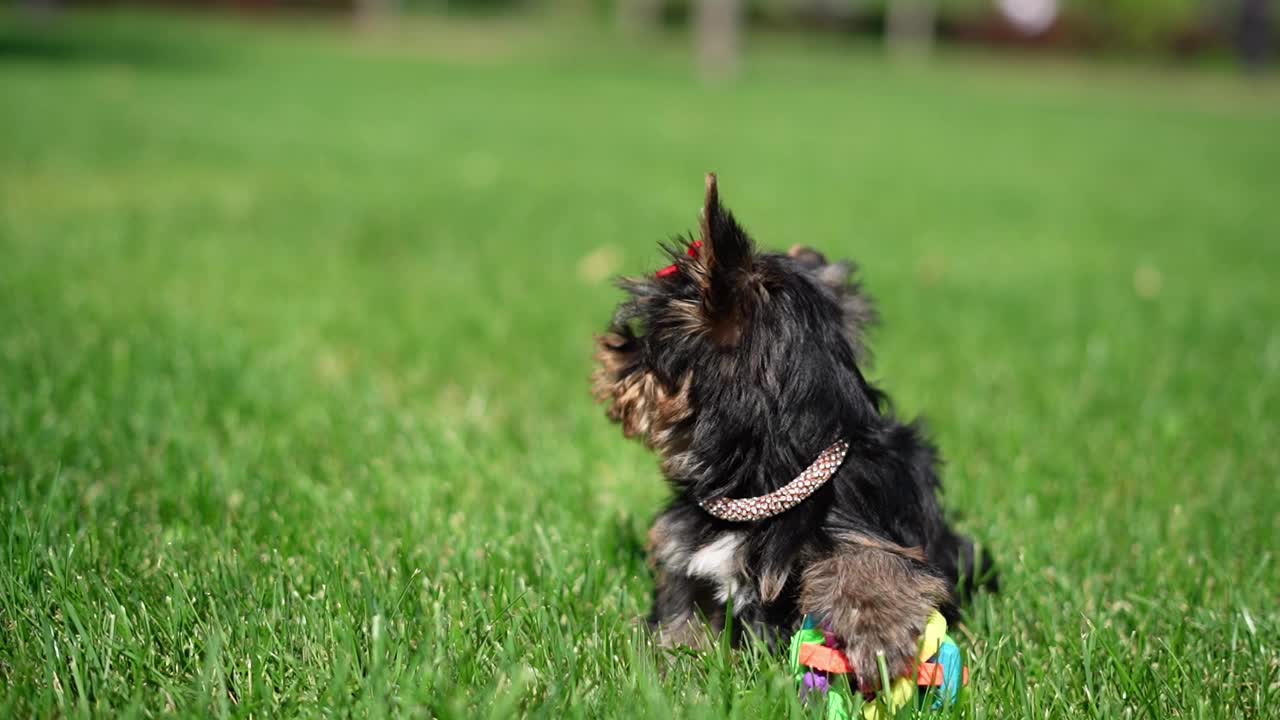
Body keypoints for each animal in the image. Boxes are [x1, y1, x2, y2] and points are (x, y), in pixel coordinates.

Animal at [593, 172, 993, 681]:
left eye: (646, 341)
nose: (611, 350)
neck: (770, 476)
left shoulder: (865, 526)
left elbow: (873, 559)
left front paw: (880, 636)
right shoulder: (686, 559)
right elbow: (682, 619)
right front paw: (668, 669)